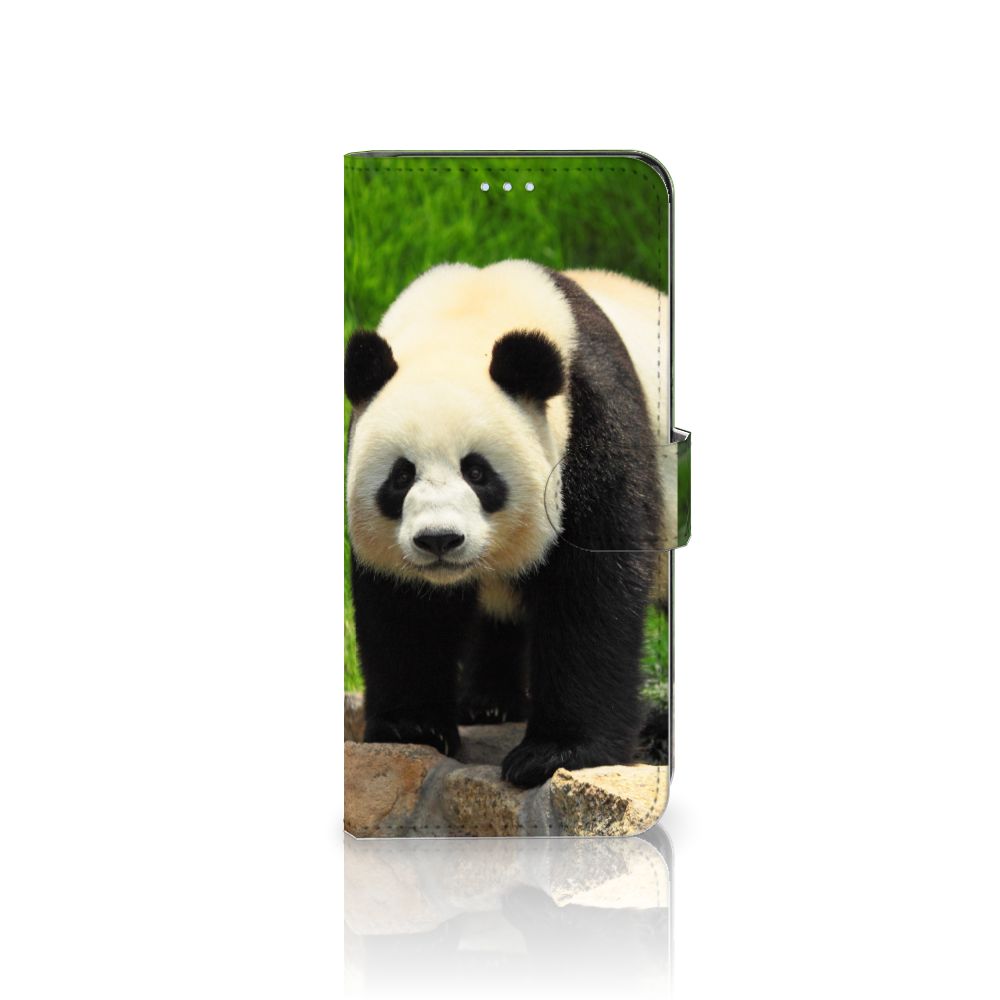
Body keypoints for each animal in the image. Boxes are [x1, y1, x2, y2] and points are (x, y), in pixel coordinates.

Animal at [345, 260, 671, 789]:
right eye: (401, 476)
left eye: (477, 472)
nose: (439, 540)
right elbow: (405, 608)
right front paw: (412, 728)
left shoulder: (592, 424)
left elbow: (592, 590)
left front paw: (554, 753)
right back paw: (488, 704)